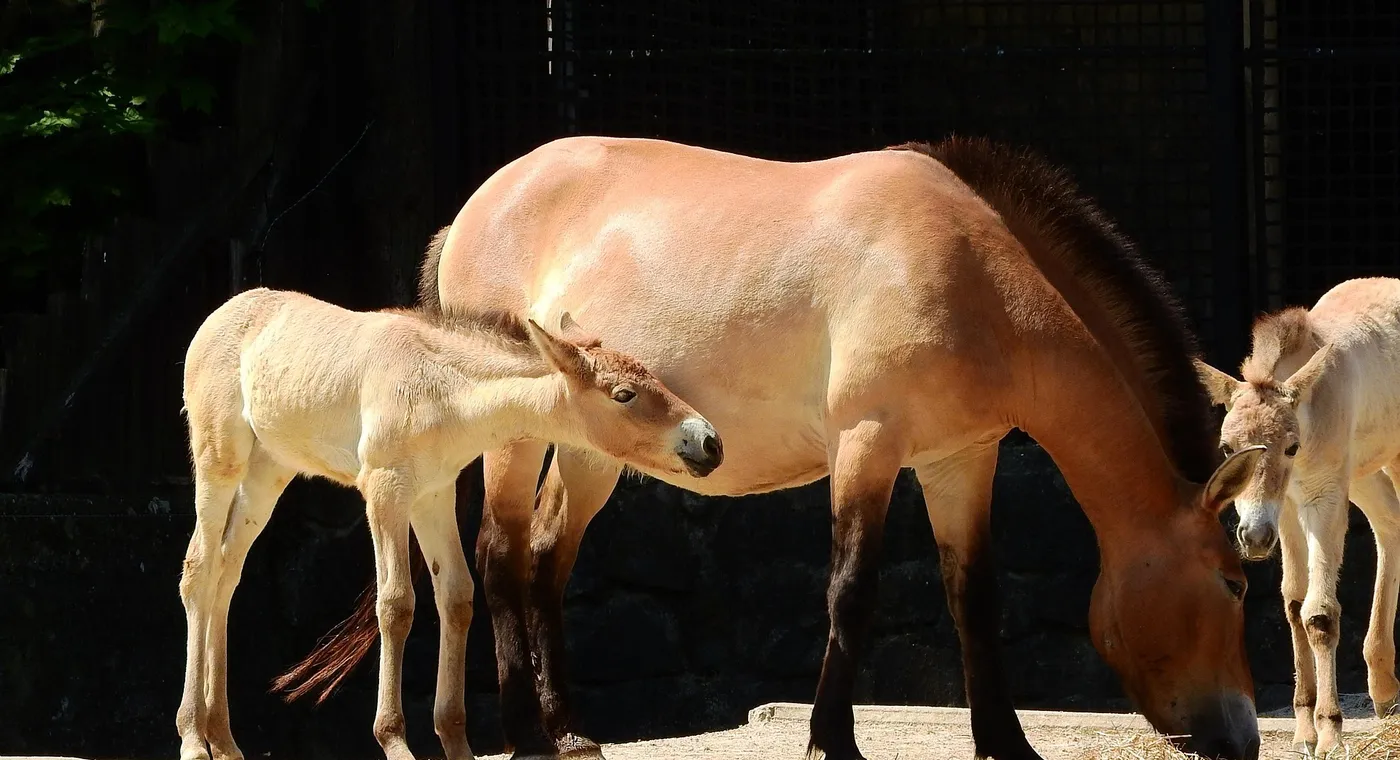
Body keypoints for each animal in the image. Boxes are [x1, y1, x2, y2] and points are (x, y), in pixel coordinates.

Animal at [174, 286, 722, 760]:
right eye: (623, 394)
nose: (708, 441)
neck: (440, 389)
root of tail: (222, 313)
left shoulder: (433, 495)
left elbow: (457, 598)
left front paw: (455, 741)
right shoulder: (385, 493)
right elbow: (396, 605)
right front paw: (394, 740)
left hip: (267, 475)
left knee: (226, 574)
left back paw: (223, 739)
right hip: (219, 463)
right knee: (199, 571)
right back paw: (193, 738)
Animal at [275, 136, 1264, 760]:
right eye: (1233, 582)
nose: (1244, 738)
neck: (970, 272)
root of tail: (478, 206)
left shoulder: (960, 459)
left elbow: (973, 599)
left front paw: (1006, 742)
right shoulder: (870, 446)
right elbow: (850, 592)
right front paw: (834, 738)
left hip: (595, 450)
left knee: (547, 557)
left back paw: (566, 729)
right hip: (519, 439)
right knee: (501, 553)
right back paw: (522, 732)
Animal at [1195, 276, 1400, 756]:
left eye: (1290, 446)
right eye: (1227, 448)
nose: (1252, 537)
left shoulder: (1323, 499)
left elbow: (1319, 613)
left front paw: (1330, 733)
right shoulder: (1286, 508)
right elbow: (1292, 604)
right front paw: (1304, 730)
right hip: (1364, 473)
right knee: (1390, 525)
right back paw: (1384, 689)